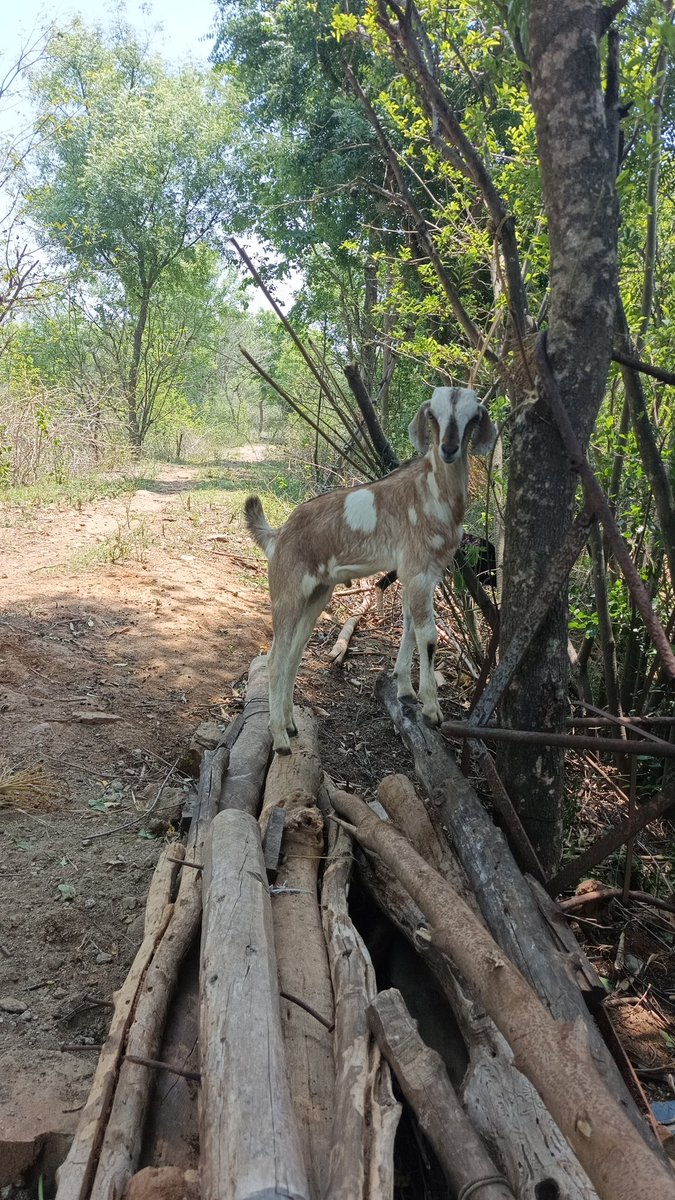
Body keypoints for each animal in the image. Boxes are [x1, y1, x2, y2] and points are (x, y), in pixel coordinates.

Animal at [245, 386, 496, 754]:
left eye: (474, 416)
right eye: (432, 415)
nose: (449, 449)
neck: (433, 493)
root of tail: (277, 536)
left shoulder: (425, 572)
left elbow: (409, 626)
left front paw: (405, 689)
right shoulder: (418, 569)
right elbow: (428, 634)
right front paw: (431, 708)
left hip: (317, 594)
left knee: (293, 655)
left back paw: (290, 725)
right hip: (287, 593)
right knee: (276, 660)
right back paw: (278, 738)